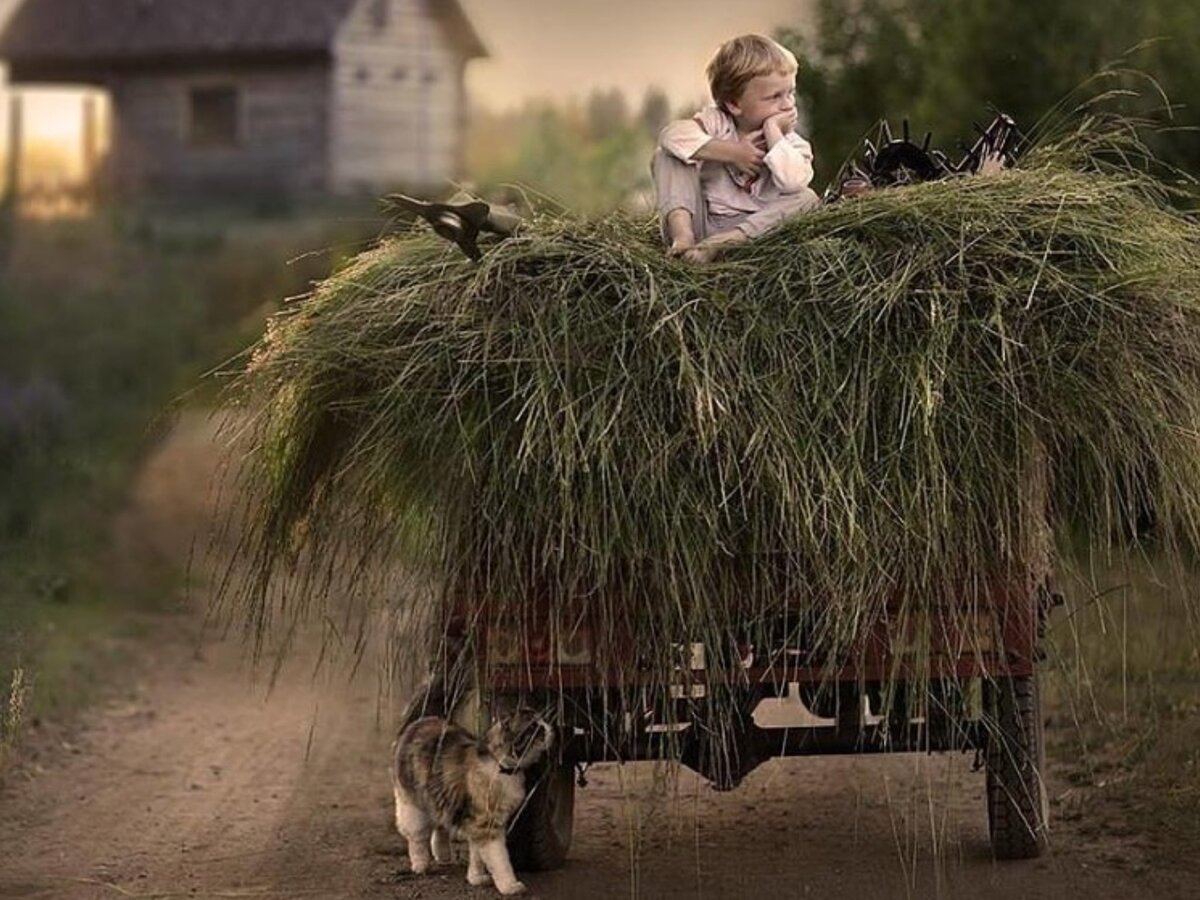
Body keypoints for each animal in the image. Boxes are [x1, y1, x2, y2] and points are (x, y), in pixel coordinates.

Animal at [393, 700, 552, 892]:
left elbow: (477, 856)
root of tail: (420, 722)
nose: (548, 727)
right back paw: (420, 864)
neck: (503, 767)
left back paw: (443, 855)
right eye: (533, 727)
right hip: (414, 806)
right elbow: (500, 860)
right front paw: (509, 885)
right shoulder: (487, 826)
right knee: (416, 838)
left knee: (440, 827)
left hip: (440, 799)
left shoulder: (478, 823)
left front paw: (475, 878)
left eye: (542, 721)